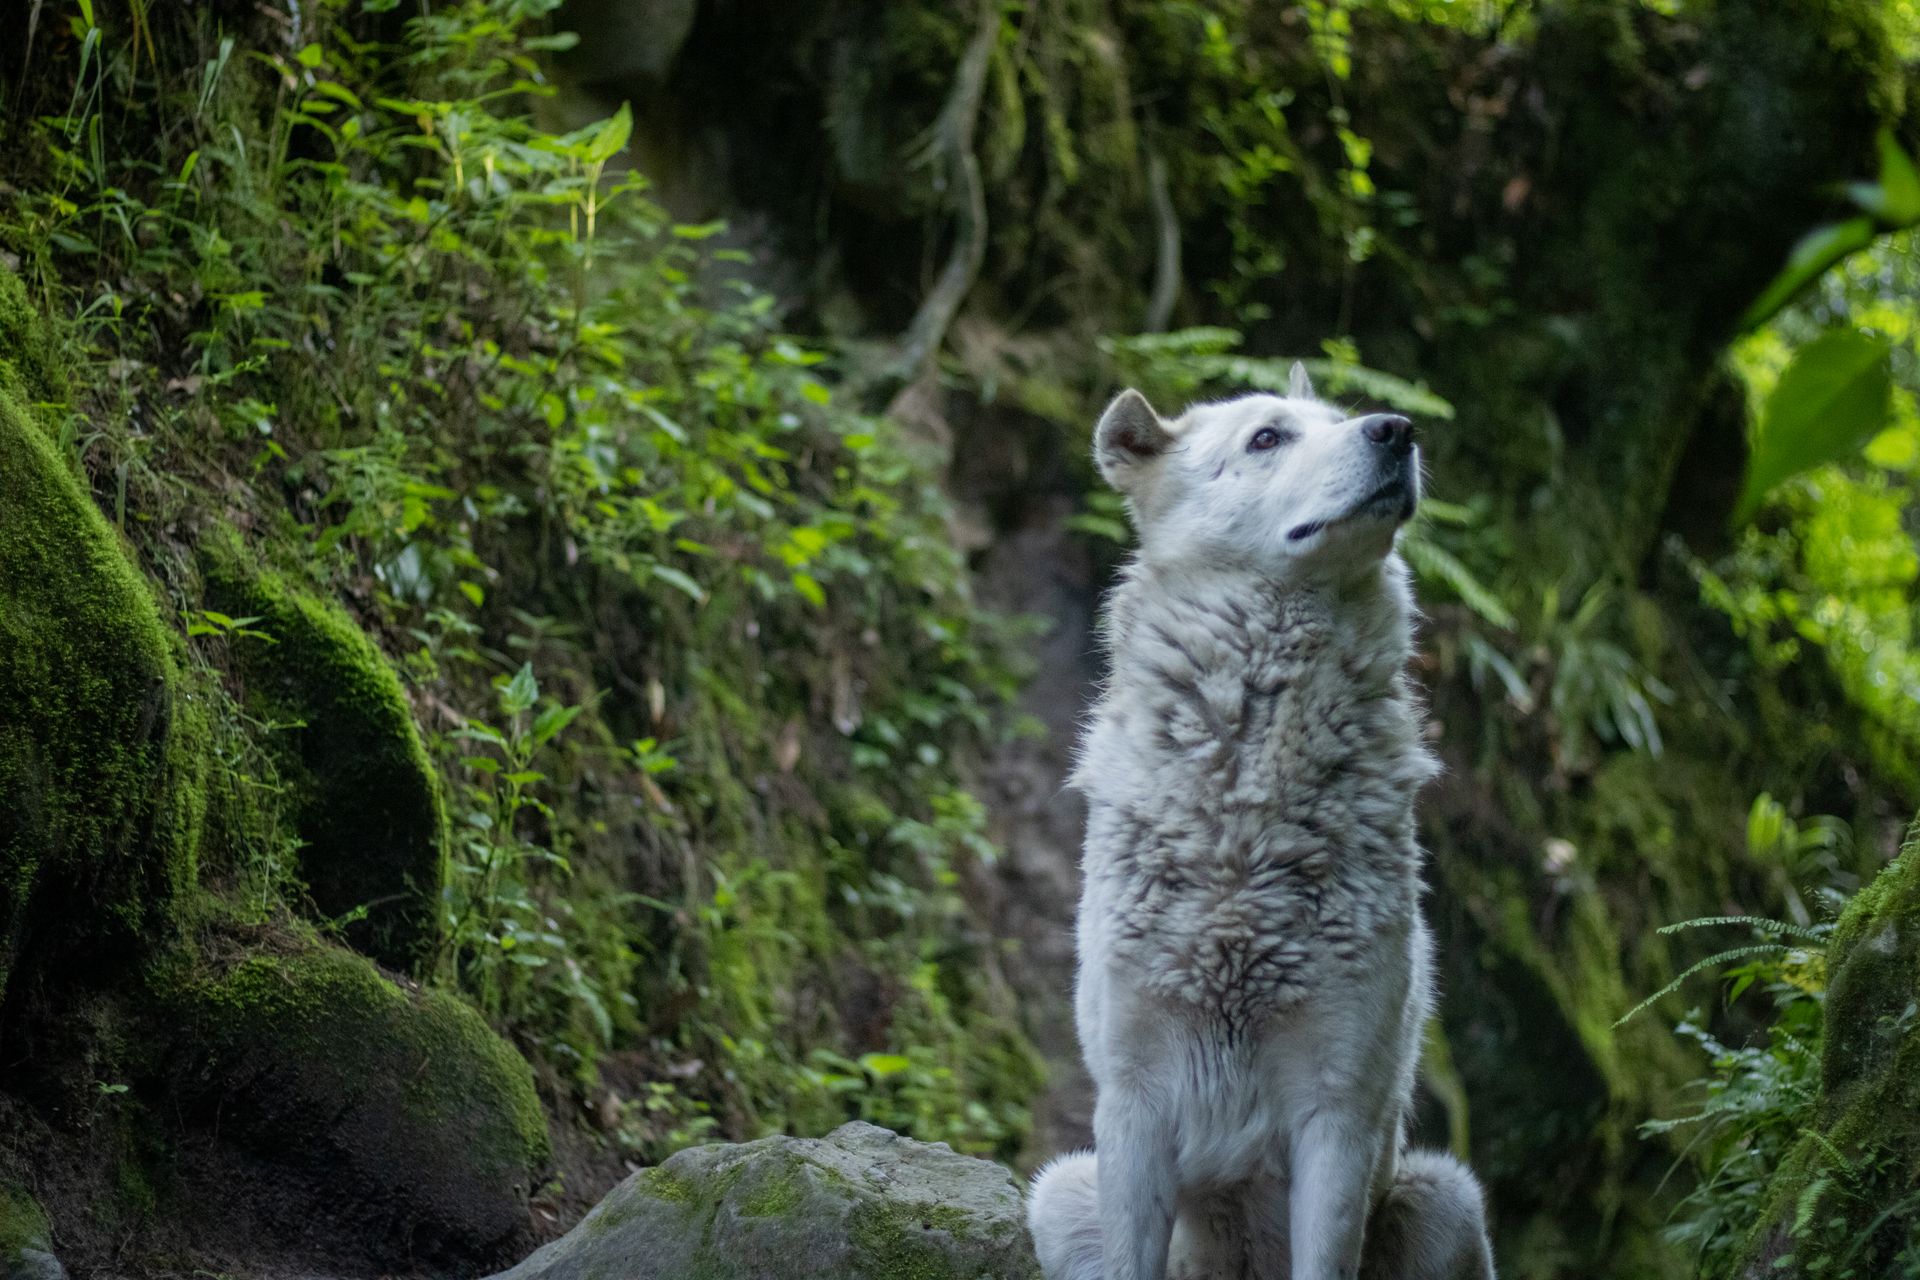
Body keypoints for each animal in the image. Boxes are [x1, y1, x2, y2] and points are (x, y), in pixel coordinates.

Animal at [1026, 367, 1495, 1280]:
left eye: (1343, 419)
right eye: (1266, 438)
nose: (1397, 429)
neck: (1245, 818)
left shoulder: (1338, 1112)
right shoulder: (1132, 1104)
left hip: (1446, 1199)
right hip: (1060, 1194)